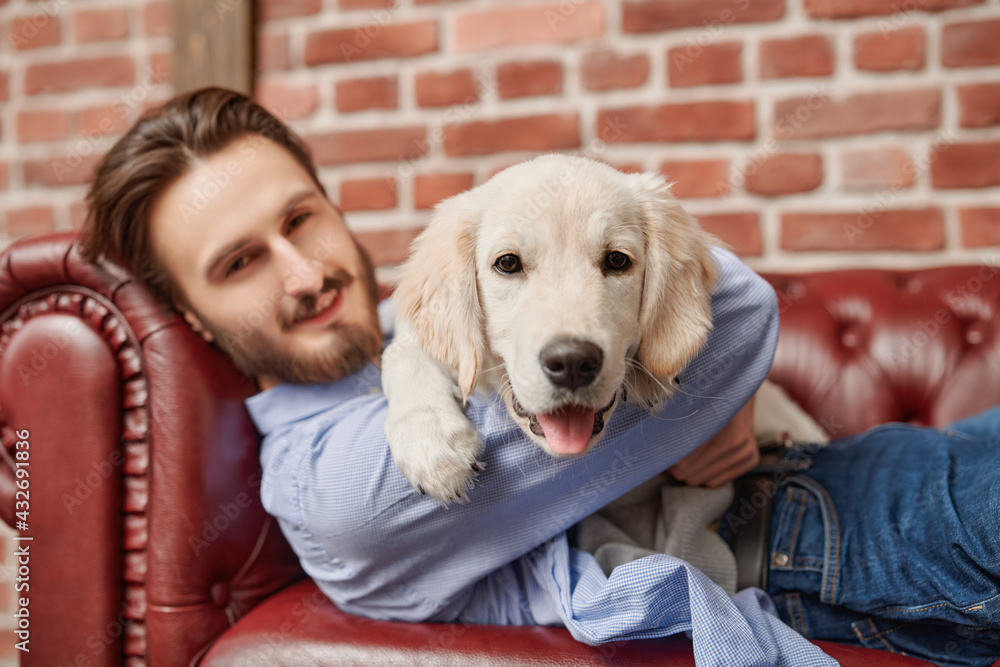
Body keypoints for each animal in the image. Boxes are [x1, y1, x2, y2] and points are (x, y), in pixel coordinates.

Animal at [380, 154, 720, 504]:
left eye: (617, 260)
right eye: (507, 263)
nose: (572, 363)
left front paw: (647, 374)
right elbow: (402, 352)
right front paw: (431, 439)